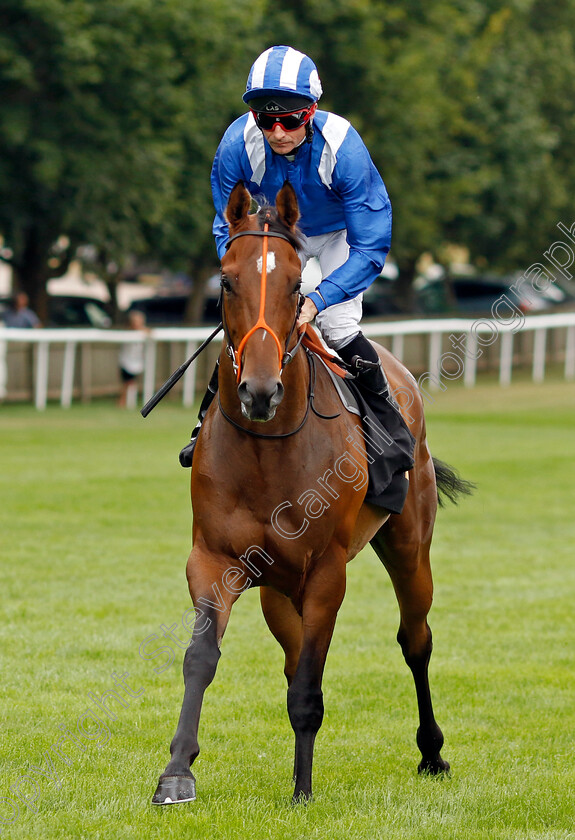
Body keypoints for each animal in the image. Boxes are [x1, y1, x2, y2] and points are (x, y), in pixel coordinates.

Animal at [154, 180, 472, 804]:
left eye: (297, 285)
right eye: (225, 280)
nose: (259, 391)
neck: (266, 451)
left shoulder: (326, 571)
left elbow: (309, 686)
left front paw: (302, 791)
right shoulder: (214, 558)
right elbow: (202, 657)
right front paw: (178, 771)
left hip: (408, 544)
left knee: (415, 638)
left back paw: (432, 752)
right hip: (279, 587)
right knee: (296, 655)